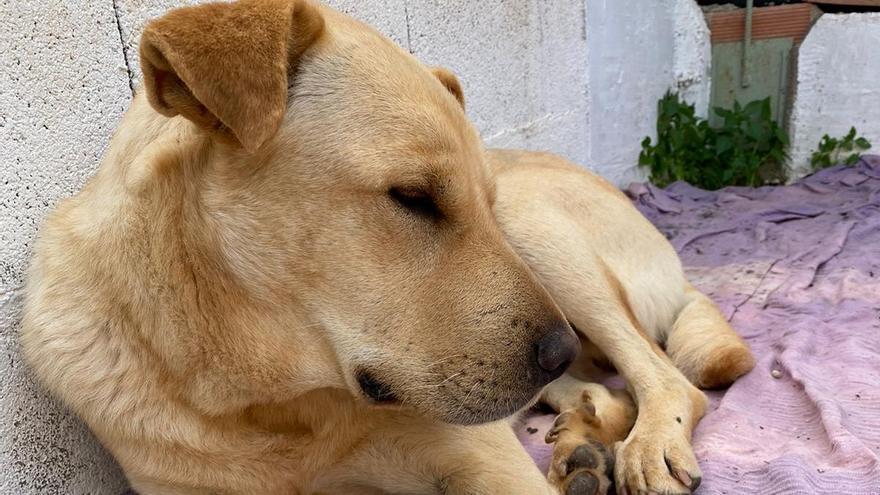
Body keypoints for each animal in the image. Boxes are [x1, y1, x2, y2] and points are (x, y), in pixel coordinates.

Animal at [20, 0, 752, 495]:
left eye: (479, 201)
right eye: (414, 196)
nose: (557, 350)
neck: (278, 409)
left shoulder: (482, 460)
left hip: (539, 231)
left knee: (667, 376)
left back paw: (640, 442)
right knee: (610, 390)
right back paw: (581, 437)